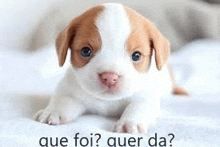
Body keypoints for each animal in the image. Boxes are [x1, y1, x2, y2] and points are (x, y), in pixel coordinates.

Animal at [34, 2, 187, 134]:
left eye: (136, 56)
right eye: (85, 51)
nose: (109, 77)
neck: (107, 101)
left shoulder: (146, 97)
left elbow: (137, 107)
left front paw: (129, 122)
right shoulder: (70, 89)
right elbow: (62, 100)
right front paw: (53, 111)